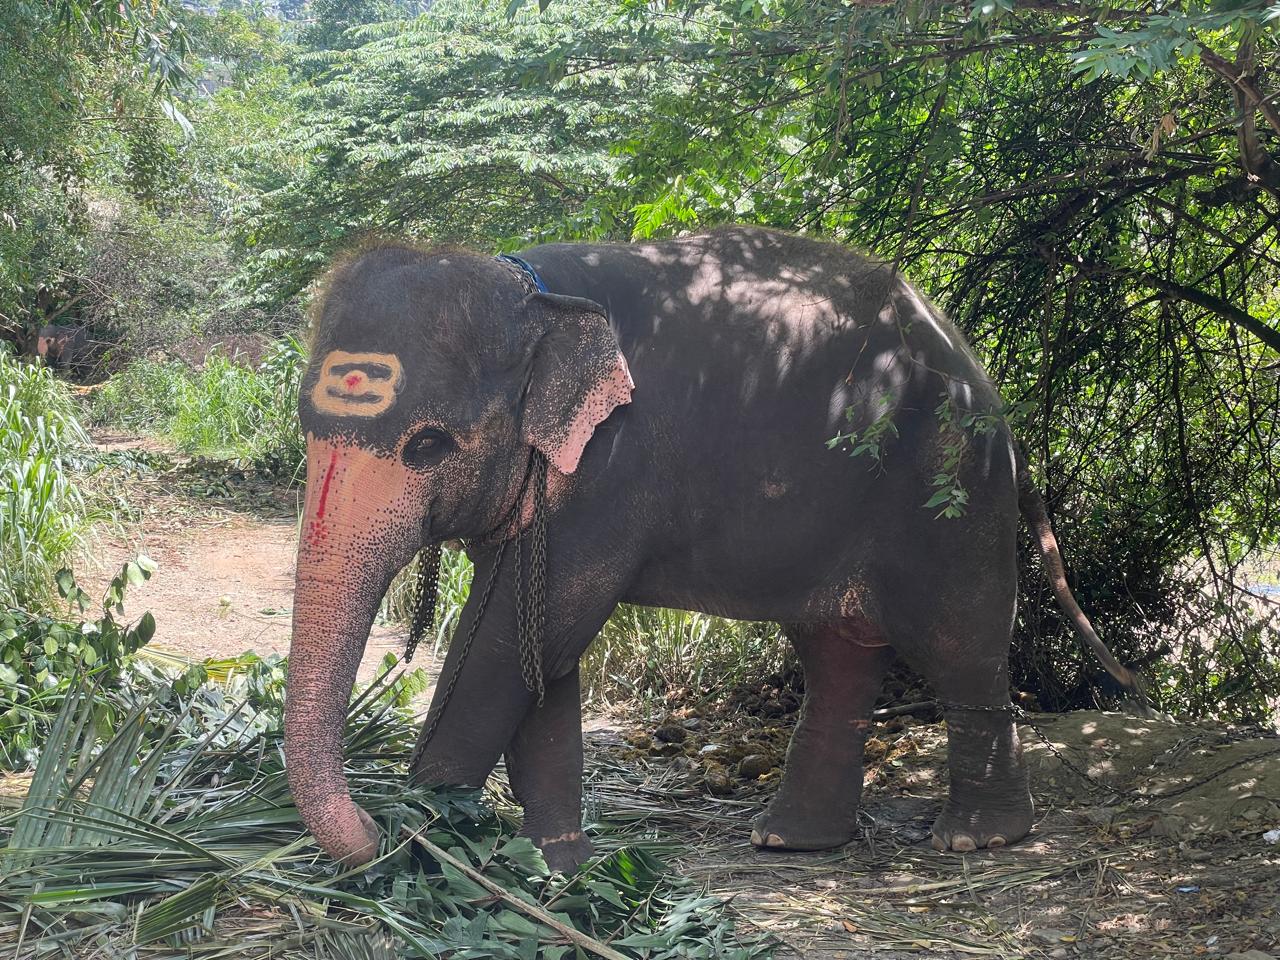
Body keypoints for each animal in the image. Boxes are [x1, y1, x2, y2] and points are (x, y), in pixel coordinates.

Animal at [284, 225, 1138, 873]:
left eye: (428, 445)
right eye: (305, 426)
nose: (375, 830)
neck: (528, 289)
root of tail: (991, 390)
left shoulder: (615, 468)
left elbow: (525, 635)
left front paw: (431, 832)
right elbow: (538, 649)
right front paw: (553, 867)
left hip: (951, 484)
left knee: (960, 638)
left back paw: (977, 838)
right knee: (838, 652)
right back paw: (792, 840)